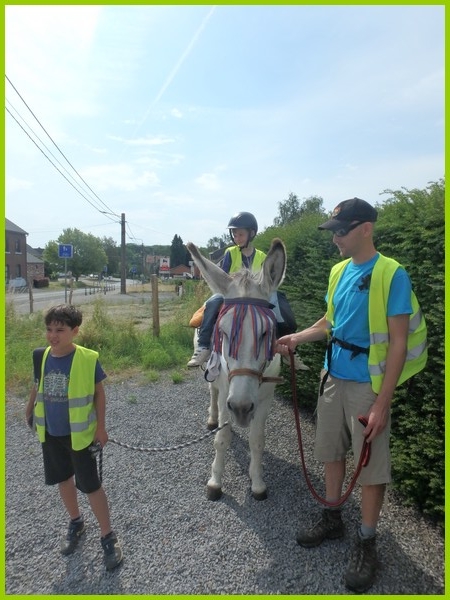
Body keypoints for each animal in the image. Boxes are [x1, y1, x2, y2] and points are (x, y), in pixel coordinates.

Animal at [186, 238, 286, 501]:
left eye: (266, 333)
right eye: (222, 331)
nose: (240, 408)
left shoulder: (264, 398)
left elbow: (257, 441)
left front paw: (258, 483)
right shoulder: (226, 392)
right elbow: (222, 439)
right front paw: (215, 483)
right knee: (212, 394)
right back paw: (212, 418)